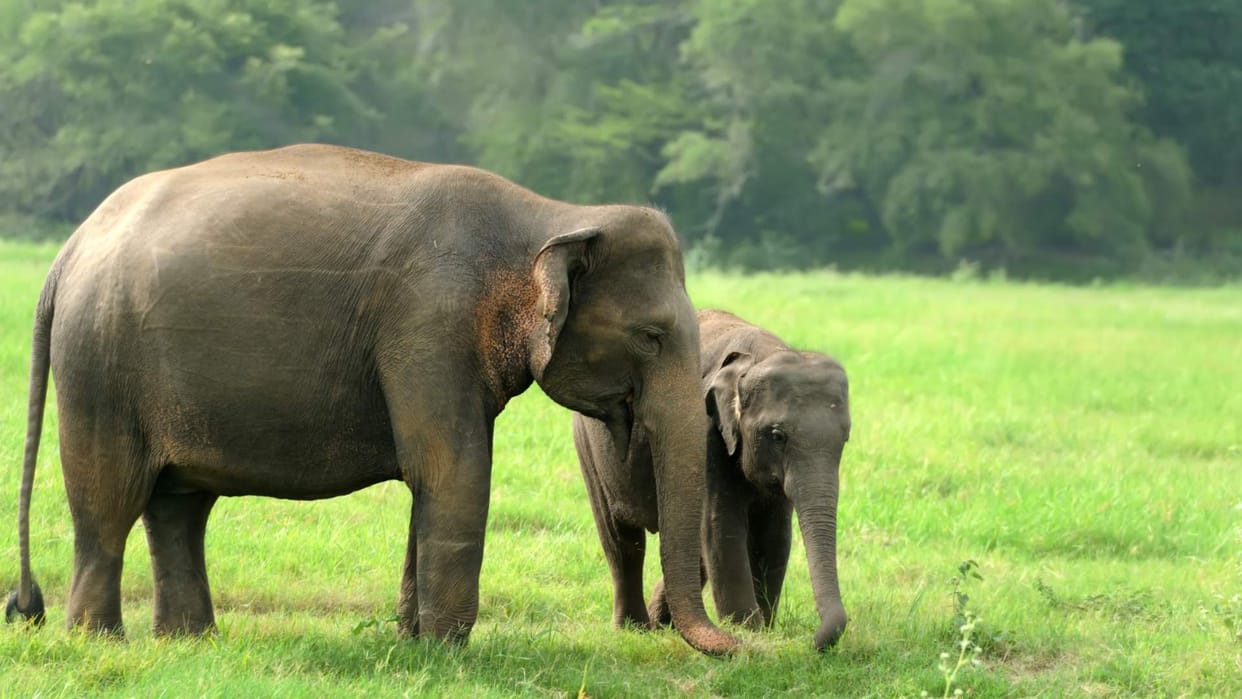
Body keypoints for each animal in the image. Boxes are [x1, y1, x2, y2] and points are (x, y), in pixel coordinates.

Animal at [4, 144, 739, 656]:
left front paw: (413, 643)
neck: (554, 214)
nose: (740, 646)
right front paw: (449, 652)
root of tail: (67, 251)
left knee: (179, 505)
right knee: (109, 499)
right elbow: (452, 470)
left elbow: (433, 476)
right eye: (650, 336)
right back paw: (100, 642)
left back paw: (190, 643)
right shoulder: (429, 322)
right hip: (99, 365)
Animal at [575, 308, 849, 651]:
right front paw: (748, 630)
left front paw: (765, 630)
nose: (811, 641)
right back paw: (634, 629)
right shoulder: (708, 435)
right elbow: (722, 527)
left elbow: (774, 535)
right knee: (622, 540)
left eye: (845, 439)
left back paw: (661, 623)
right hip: (589, 444)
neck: (761, 355)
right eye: (777, 435)